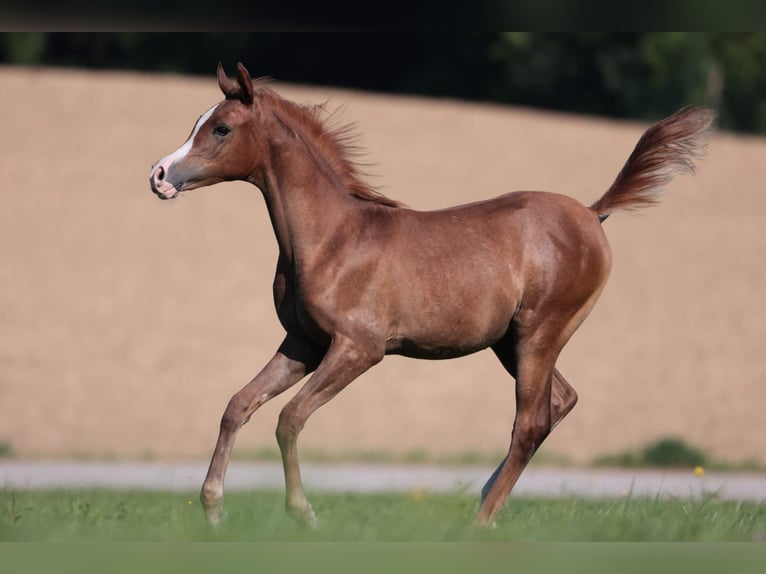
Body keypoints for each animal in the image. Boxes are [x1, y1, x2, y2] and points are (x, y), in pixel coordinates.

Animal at [149, 63, 714, 528]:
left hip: (540, 333)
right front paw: (213, 508)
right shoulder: (302, 344)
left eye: (221, 128)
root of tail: (593, 214)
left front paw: (303, 514)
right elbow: (238, 405)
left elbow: (290, 419)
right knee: (560, 401)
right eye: (197, 122)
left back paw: (478, 522)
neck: (333, 238)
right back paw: (484, 502)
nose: (159, 176)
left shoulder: (359, 349)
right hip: (510, 343)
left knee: (530, 421)